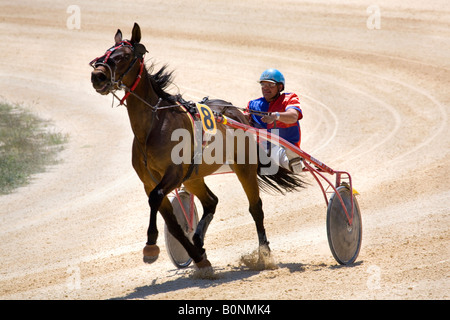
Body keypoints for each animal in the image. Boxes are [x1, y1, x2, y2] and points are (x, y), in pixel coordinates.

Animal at [89, 23, 304, 270]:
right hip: (193, 176)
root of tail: (238, 113)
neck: (153, 125)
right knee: (211, 202)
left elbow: (155, 197)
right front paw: (198, 256)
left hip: (243, 167)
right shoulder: (149, 180)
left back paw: (264, 254)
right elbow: (171, 220)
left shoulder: (173, 173)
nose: (97, 75)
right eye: (106, 52)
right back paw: (199, 240)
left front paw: (151, 246)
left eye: (124, 56)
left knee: (255, 208)